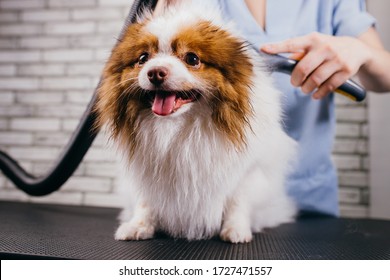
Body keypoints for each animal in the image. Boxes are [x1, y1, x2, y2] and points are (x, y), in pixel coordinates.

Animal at [96, 1, 298, 243]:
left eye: (192, 59)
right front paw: (138, 226)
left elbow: (238, 201)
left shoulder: (248, 171)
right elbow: (145, 201)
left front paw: (236, 230)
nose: (155, 72)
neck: (179, 126)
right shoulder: (145, 173)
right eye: (143, 58)